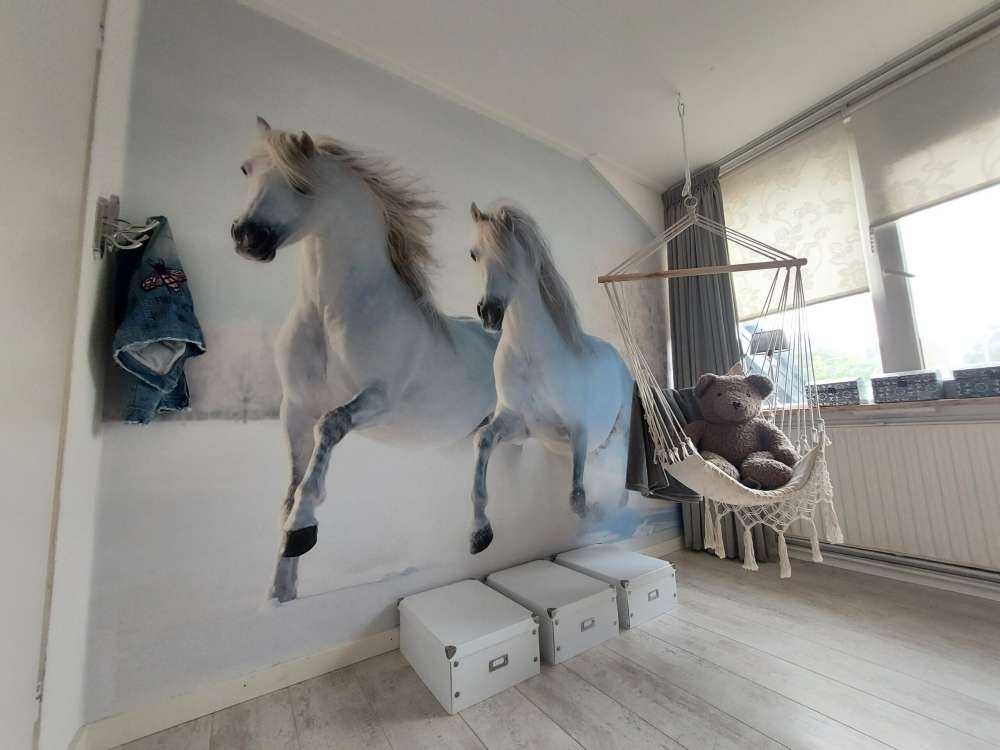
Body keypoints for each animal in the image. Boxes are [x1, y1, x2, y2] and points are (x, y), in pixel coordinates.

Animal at [232, 118, 499, 602]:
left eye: (302, 183)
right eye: (246, 169)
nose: (248, 237)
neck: (330, 313)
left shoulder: (379, 400)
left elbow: (330, 427)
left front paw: (302, 530)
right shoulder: (294, 409)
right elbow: (291, 488)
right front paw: (280, 593)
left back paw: (482, 534)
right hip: (457, 438)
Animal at [466, 202, 634, 554]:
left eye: (510, 253)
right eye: (474, 254)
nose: (489, 312)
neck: (532, 357)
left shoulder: (578, 431)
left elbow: (576, 498)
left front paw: (595, 514)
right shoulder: (519, 427)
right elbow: (483, 439)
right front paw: (479, 533)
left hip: (621, 430)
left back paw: (616, 506)